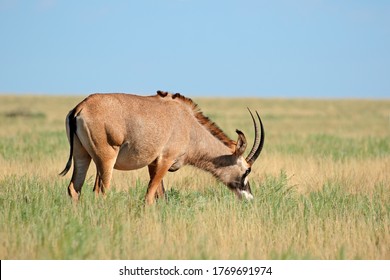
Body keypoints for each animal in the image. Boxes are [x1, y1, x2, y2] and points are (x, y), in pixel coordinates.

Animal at [58, 91, 266, 205]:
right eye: (247, 170)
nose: (249, 198)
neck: (188, 124)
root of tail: (81, 107)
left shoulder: (152, 164)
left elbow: (161, 196)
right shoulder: (165, 160)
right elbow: (150, 197)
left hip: (82, 156)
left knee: (74, 188)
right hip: (106, 159)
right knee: (100, 191)